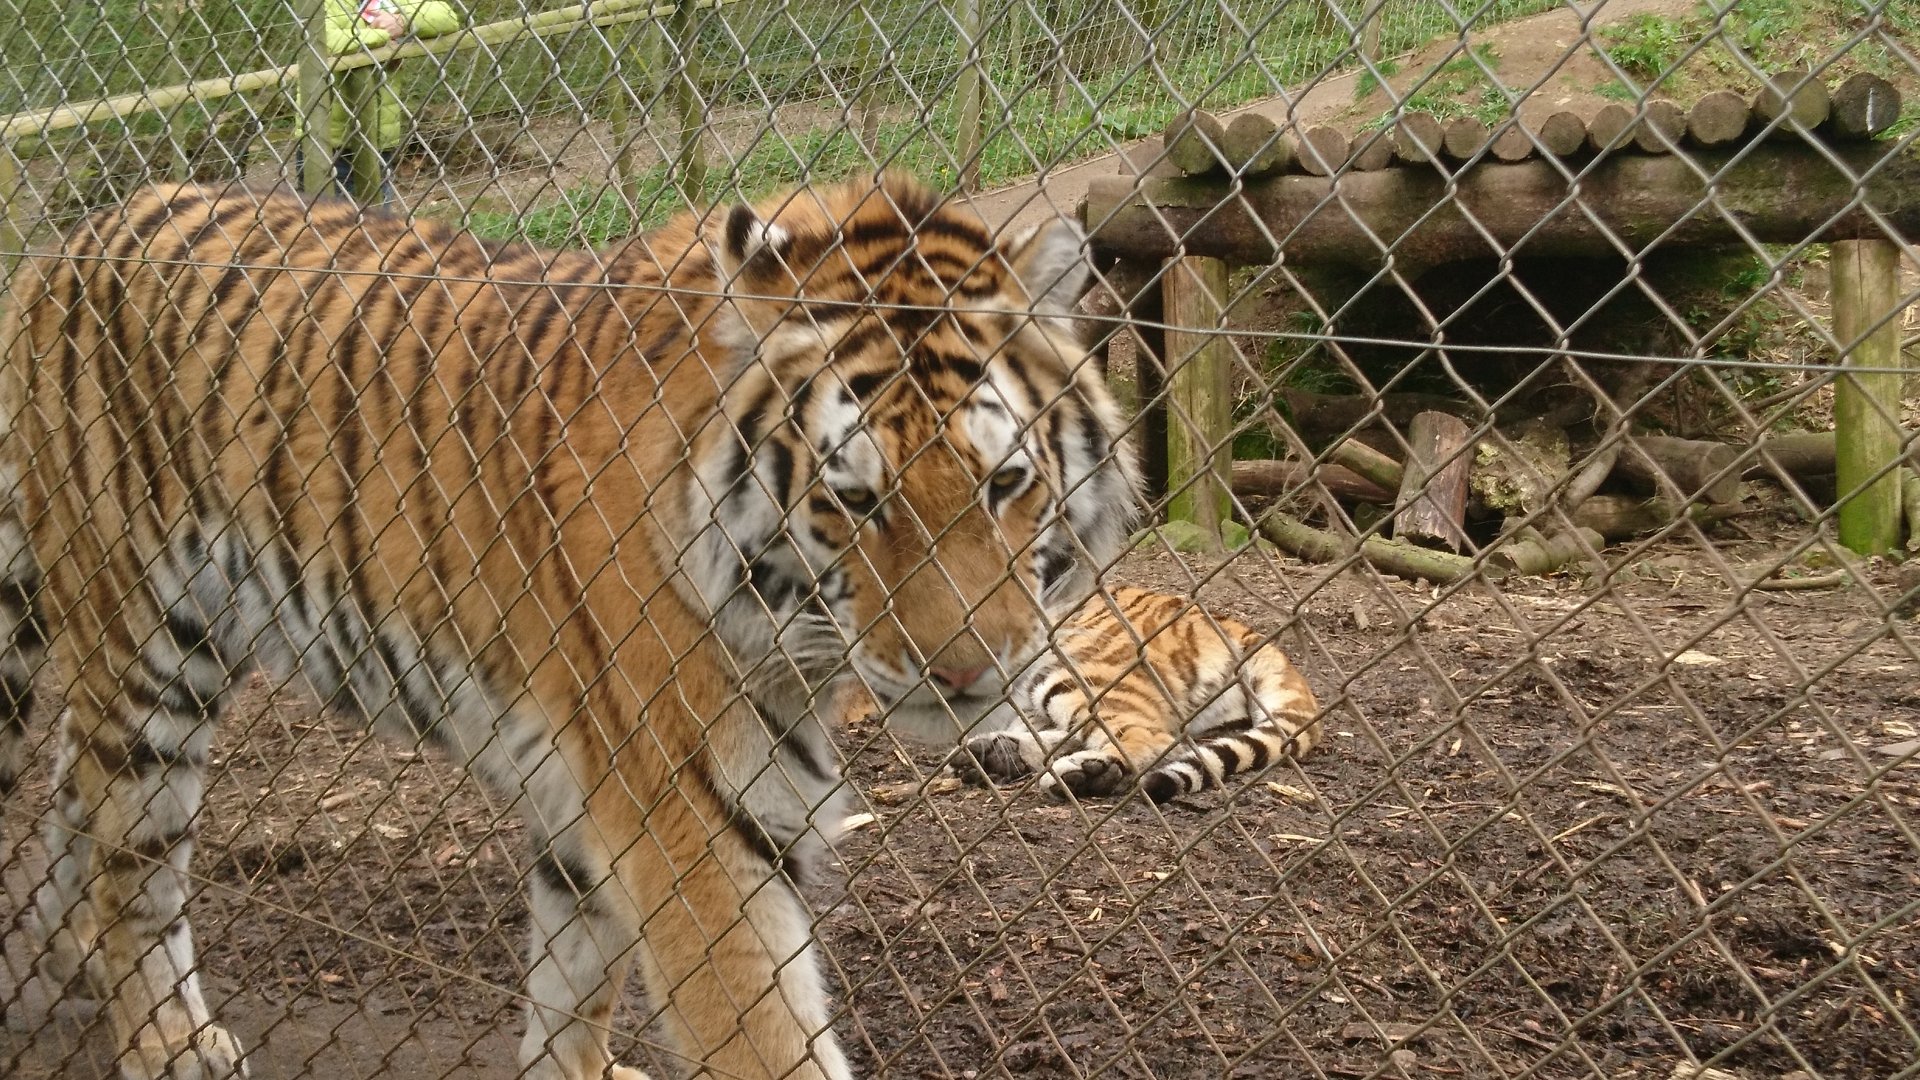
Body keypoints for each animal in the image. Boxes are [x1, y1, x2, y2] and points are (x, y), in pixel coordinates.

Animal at [0, 173, 1138, 1080]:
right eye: (857, 501)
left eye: (1006, 482)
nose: (968, 674)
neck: (786, 627)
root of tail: (66, 244)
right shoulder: (687, 812)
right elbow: (761, 1036)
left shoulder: (591, 797)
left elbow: (571, 989)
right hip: (146, 640)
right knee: (133, 856)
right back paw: (166, 1039)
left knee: (71, 786)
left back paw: (64, 958)